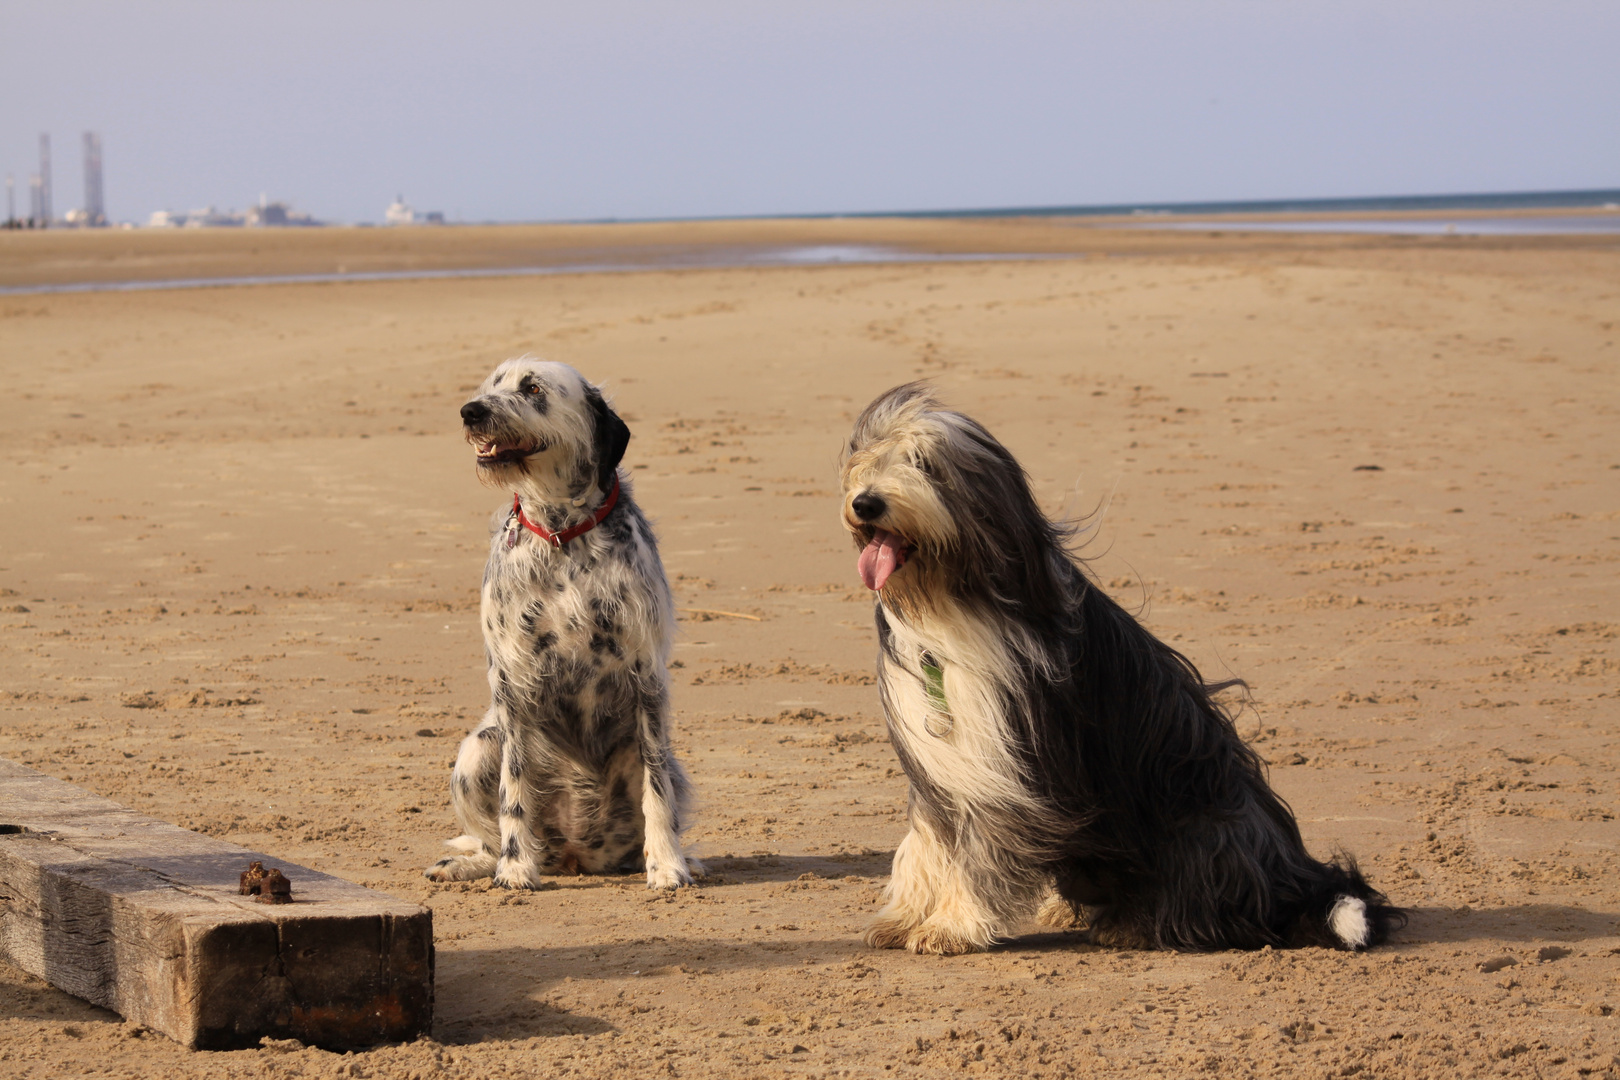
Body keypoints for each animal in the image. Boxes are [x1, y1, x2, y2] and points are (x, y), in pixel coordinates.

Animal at [421, 359, 693, 893]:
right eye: (491, 385)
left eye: (532, 388)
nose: (471, 411)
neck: (563, 534)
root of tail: (574, 855)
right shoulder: (513, 684)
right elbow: (514, 792)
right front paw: (514, 868)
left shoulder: (647, 682)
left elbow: (657, 794)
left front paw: (668, 865)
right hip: (476, 752)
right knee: (493, 832)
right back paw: (478, 864)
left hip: (671, 765)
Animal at [842, 386, 1399, 952]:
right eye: (867, 456)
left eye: (925, 464)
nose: (866, 503)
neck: (951, 602)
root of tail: (1292, 881)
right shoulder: (943, 763)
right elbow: (927, 839)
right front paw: (907, 915)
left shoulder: (1008, 766)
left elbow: (983, 850)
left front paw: (953, 924)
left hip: (1200, 824)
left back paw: (1131, 924)